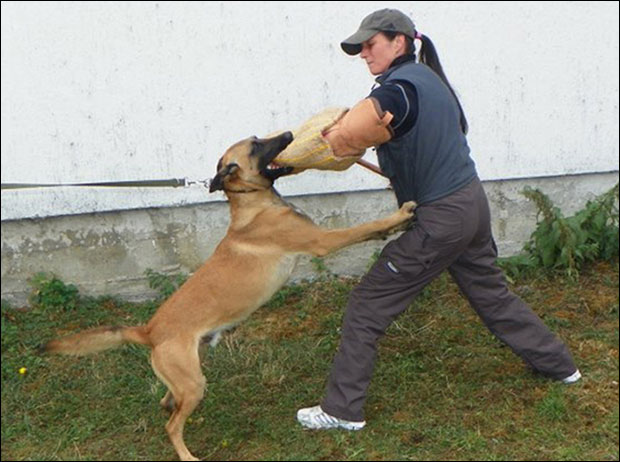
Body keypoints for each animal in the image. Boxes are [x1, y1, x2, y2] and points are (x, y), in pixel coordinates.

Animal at [41, 131, 415, 461]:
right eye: (256, 146)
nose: (289, 134)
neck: (253, 202)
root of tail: (148, 330)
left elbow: (368, 232)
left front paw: (395, 226)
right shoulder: (322, 241)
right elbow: (361, 228)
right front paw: (399, 215)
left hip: (188, 376)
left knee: (168, 403)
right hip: (193, 384)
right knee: (172, 425)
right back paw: (187, 455)